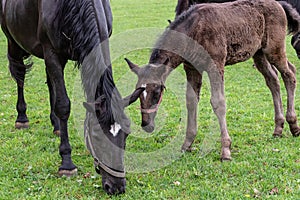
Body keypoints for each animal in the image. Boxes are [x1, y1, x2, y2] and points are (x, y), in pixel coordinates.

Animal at [1, 0, 142, 195]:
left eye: (126, 133)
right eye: (96, 135)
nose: (116, 187)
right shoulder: (51, 52)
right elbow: (63, 105)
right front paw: (67, 163)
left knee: (49, 82)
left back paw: (56, 125)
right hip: (14, 43)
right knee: (20, 76)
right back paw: (22, 118)